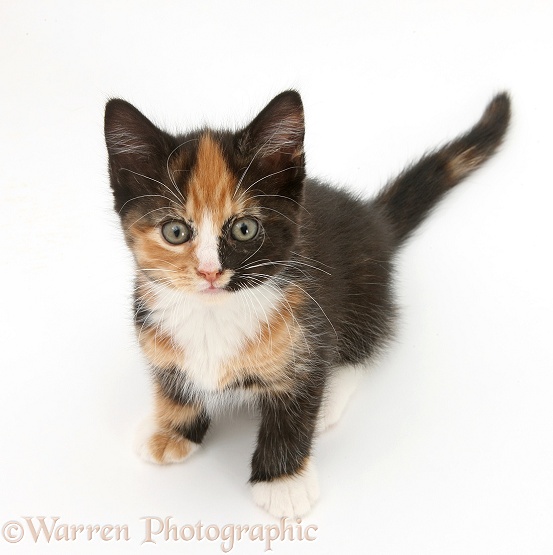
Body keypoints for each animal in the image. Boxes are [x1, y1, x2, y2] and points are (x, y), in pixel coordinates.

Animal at [103, 89, 508, 520]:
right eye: (175, 232)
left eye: (245, 228)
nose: (210, 272)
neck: (215, 312)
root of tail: (375, 220)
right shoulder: (152, 329)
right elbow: (173, 384)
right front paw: (169, 430)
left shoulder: (307, 326)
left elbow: (296, 408)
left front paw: (283, 483)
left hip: (368, 285)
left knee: (367, 338)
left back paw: (333, 393)